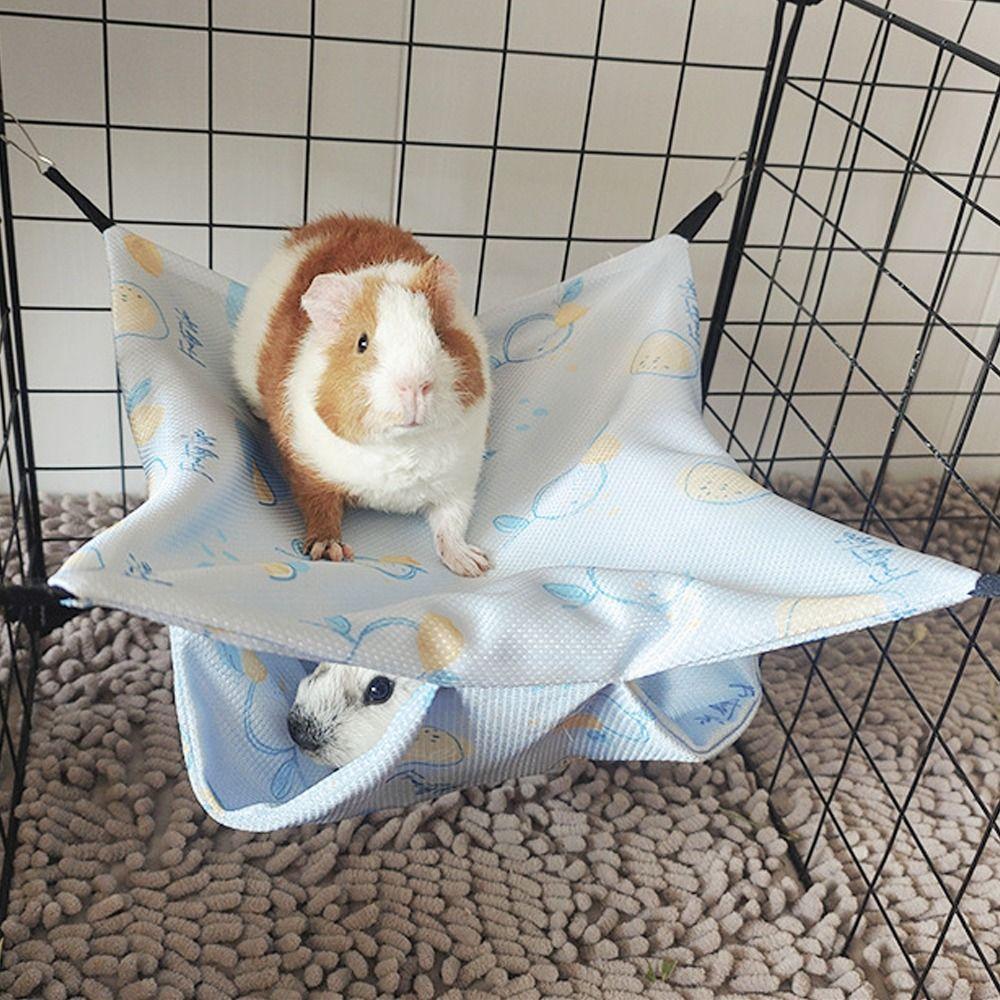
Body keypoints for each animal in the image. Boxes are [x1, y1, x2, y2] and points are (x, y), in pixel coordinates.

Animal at [233, 215, 492, 576]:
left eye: (439, 335)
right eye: (362, 342)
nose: (414, 386)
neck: (400, 447)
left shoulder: (459, 483)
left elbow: (451, 524)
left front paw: (473, 566)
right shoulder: (309, 470)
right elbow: (321, 509)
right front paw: (329, 552)